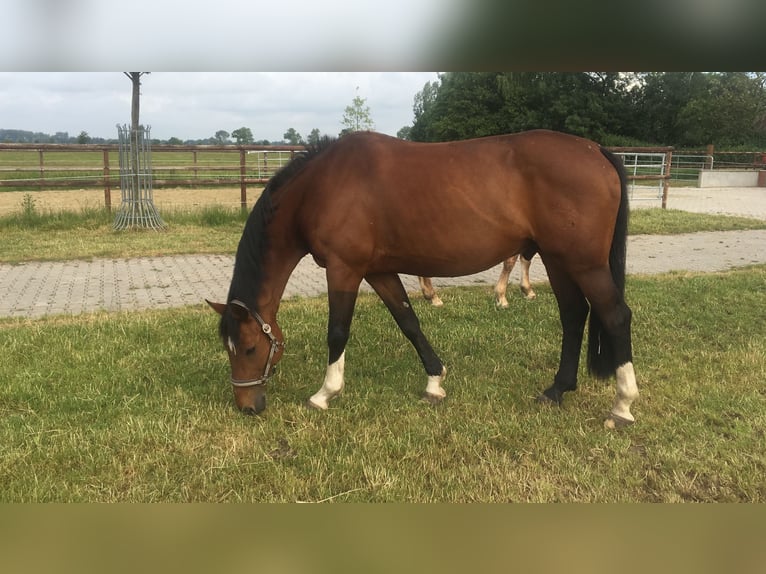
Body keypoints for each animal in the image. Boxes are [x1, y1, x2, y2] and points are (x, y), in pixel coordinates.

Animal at [207, 129, 640, 428]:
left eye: (249, 349)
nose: (247, 407)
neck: (322, 185)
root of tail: (596, 151)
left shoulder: (344, 268)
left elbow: (338, 332)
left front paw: (324, 394)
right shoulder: (379, 270)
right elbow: (408, 321)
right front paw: (435, 382)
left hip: (582, 263)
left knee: (615, 315)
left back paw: (622, 405)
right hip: (557, 259)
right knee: (573, 316)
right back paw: (557, 390)